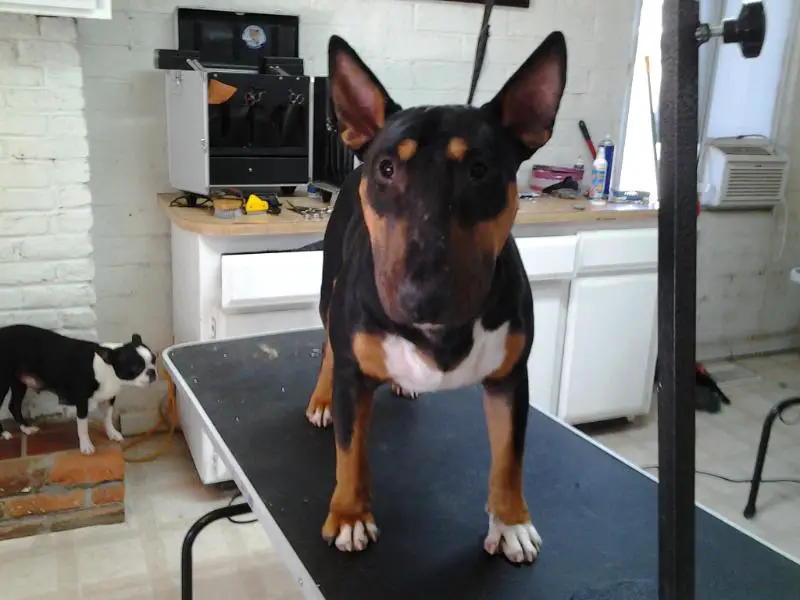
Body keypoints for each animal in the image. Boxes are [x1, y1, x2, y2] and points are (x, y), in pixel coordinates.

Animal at [0, 324, 157, 454]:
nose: (152, 372)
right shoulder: (82, 403)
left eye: (154, 359)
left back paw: (26, 428)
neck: (108, 368)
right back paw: (3, 433)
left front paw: (112, 433)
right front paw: (86, 446)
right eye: (135, 368)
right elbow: (83, 427)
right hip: (3, 382)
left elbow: (107, 418)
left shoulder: (110, 398)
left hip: (18, 383)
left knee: (14, 405)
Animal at [303, 33, 567, 564]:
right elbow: (350, 450)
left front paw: (510, 523)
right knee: (326, 345)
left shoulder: (511, 379)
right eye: (387, 169)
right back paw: (321, 399)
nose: (422, 299)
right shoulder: (353, 374)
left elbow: (509, 456)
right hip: (329, 290)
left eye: (480, 169)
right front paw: (349, 515)